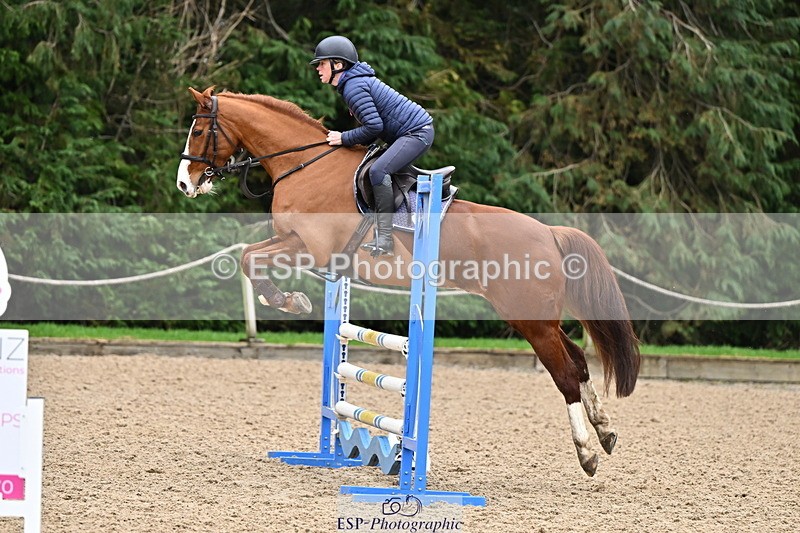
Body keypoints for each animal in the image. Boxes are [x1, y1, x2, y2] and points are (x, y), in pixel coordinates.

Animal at [176, 86, 640, 477]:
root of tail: (549, 233)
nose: (184, 183)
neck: (305, 165)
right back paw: (606, 431)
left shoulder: (310, 249)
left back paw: (587, 453)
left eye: (198, 130)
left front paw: (290, 300)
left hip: (530, 320)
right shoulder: (293, 242)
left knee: (565, 373)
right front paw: (291, 299)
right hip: (537, 318)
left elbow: (251, 260)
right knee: (578, 360)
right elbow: (247, 256)